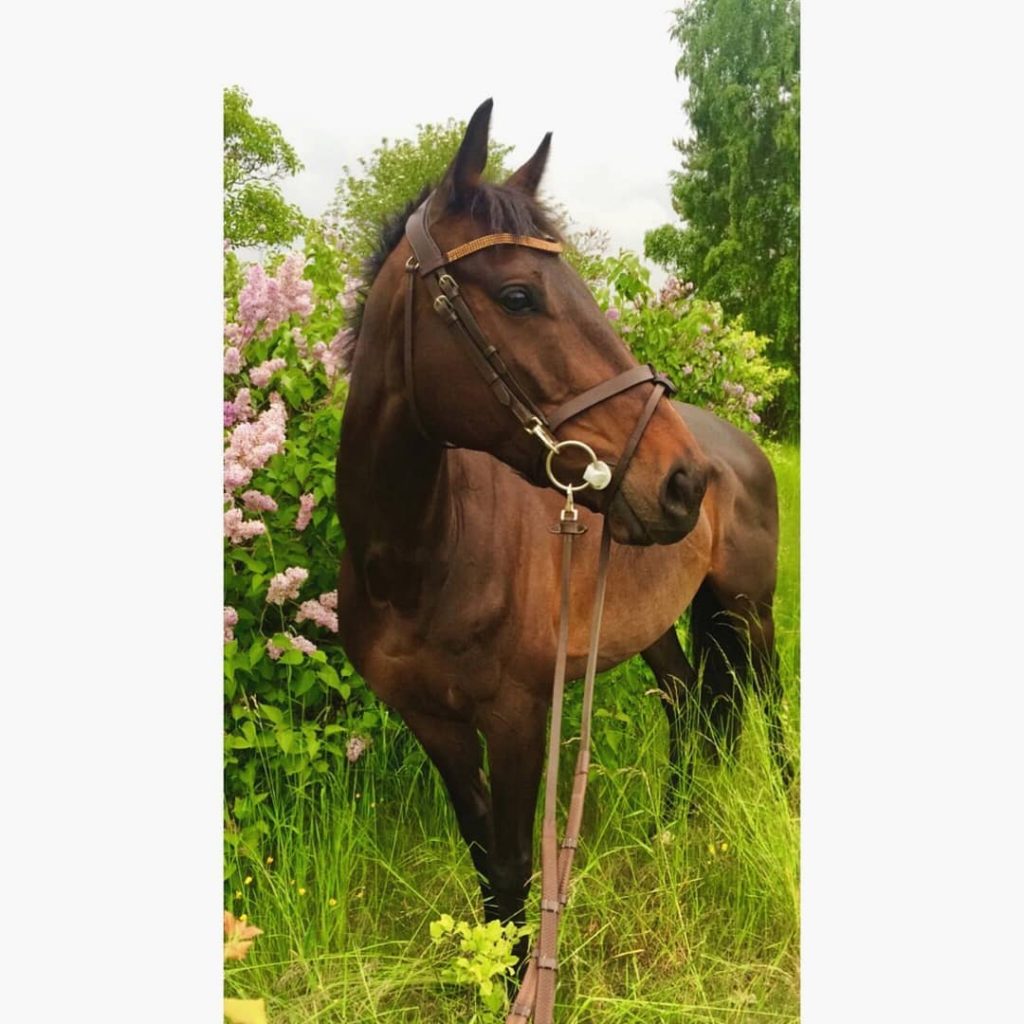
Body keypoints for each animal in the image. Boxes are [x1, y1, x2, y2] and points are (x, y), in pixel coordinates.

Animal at [334, 99, 786, 949]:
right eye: (518, 296)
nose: (683, 483)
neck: (421, 558)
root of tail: (737, 448)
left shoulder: (517, 720)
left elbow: (515, 873)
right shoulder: (434, 725)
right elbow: (487, 867)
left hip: (751, 611)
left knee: (771, 709)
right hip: (658, 626)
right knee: (685, 704)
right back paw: (671, 832)